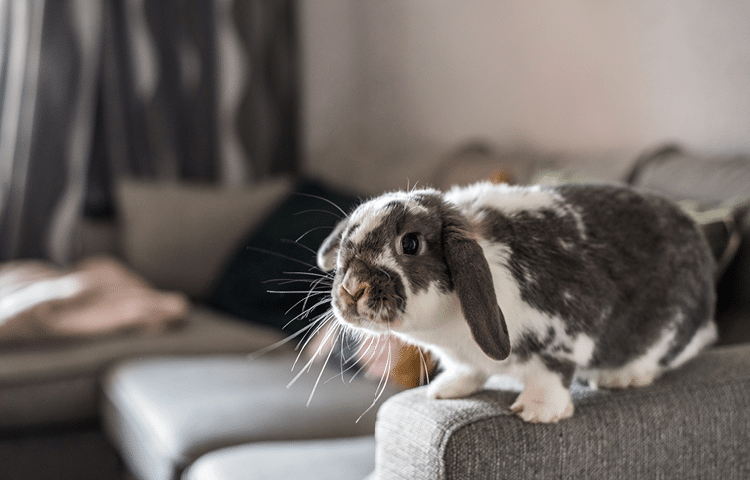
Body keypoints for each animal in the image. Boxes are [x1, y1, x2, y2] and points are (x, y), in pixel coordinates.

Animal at [315, 181, 717, 423]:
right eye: (347, 240)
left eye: (410, 243)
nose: (352, 289)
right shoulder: (464, 357)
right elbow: (468, 370)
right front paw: (446, 390)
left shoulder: (565, 329)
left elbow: (550, 373)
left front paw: (538, 411)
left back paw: (622, 377)